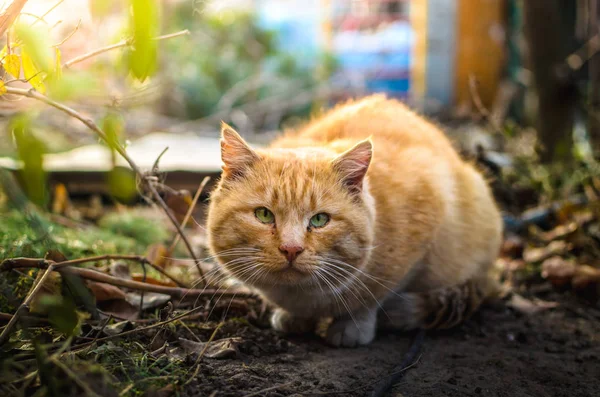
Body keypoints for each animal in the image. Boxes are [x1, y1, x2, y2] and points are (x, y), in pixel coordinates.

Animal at [206, 96, 502, 346]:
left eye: (320, 219)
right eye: (264, 215)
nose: (291, 249)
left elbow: (372, 298)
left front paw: (353, 325)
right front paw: (295, 318)